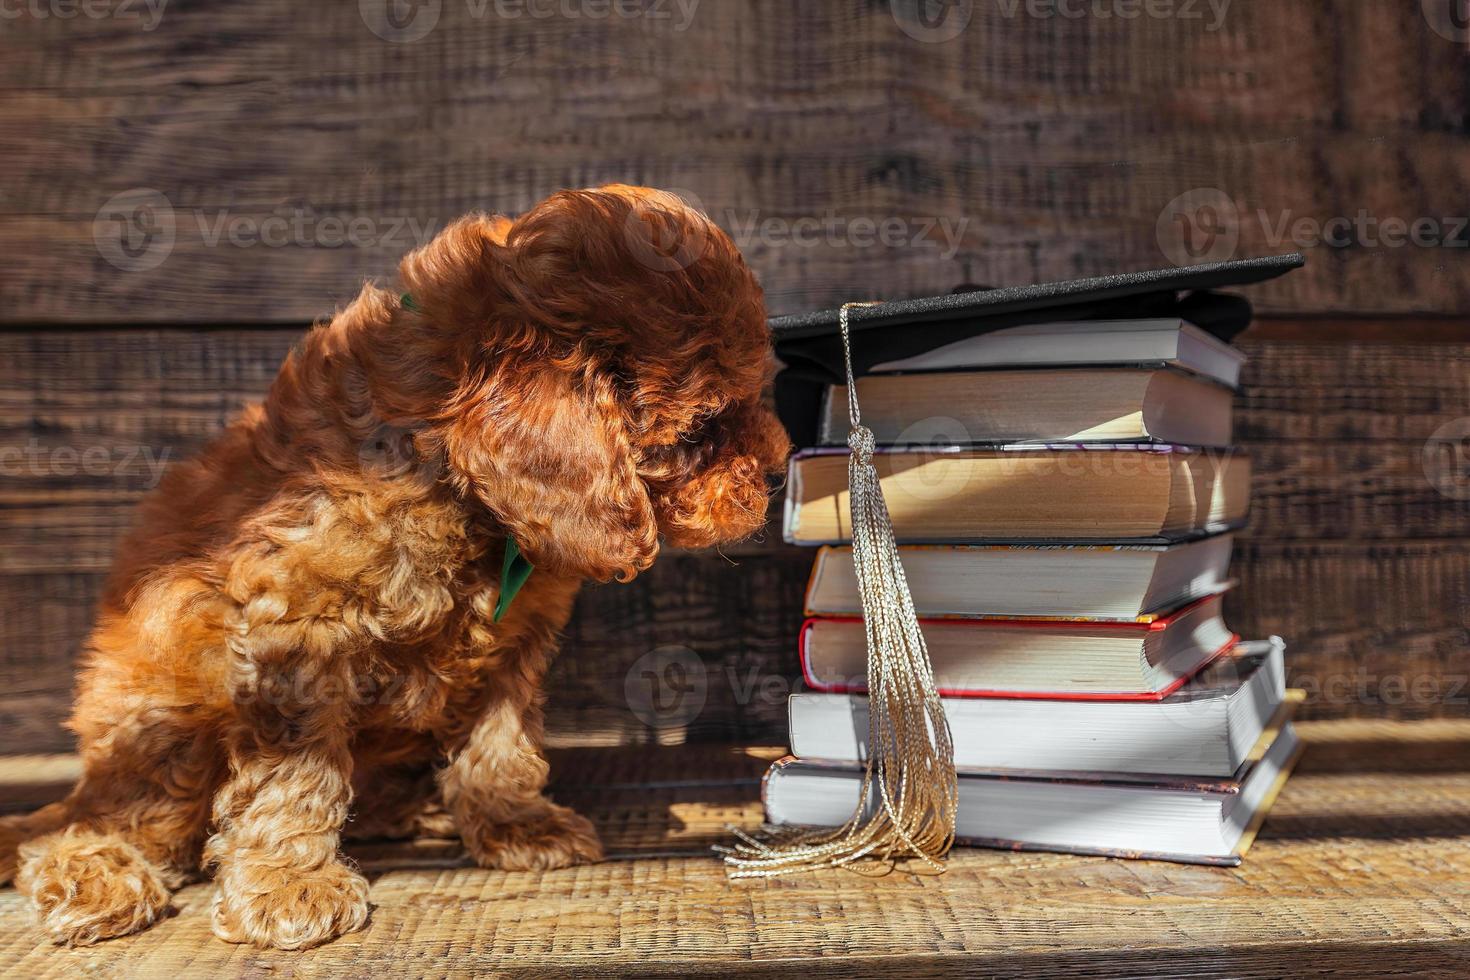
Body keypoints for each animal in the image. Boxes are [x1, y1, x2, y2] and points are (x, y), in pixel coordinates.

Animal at [0, 183, 793, 952]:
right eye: (704, 429)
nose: (782, 468)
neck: (447, 481)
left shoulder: (515, 641)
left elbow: (501, 742)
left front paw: (516, 824)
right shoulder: (292, 632)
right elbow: (293, 774)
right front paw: (290, 887)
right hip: (164, 709)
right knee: (93, 825)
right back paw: (96, 880)